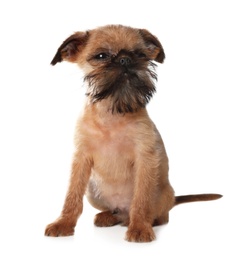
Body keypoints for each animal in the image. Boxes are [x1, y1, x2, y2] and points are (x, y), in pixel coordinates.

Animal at [45, 24, 222, 242]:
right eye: (101, 56)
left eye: (140, 54)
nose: (125, 59)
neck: (112, 115)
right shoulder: (81, 160)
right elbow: (72, 195)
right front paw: (63, 223)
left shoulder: (144, 159)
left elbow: (141, 199)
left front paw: (139, 227)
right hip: (92, 192)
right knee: (113, 211)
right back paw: (107, 216)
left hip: (163, 195)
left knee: (160, 214)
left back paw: (144, 221)